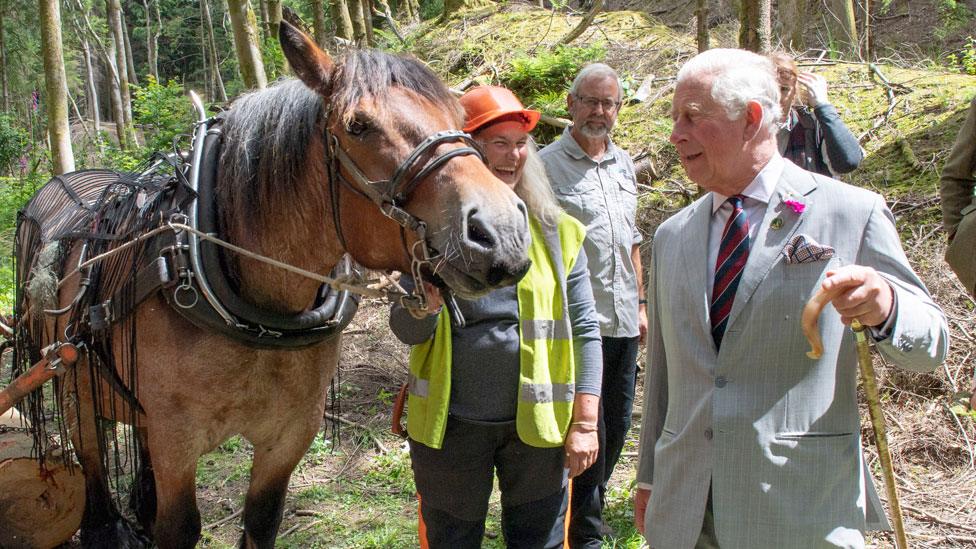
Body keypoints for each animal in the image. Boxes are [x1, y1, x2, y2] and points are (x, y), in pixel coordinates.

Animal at [15, 20, 528, 544]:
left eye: (460, 117)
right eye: (357, 126)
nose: (501, 232)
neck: (260, 316)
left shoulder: (288, 436)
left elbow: (262, 519)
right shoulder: (176, 439)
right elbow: (178, 526)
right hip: (71, 385)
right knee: (91, 461)